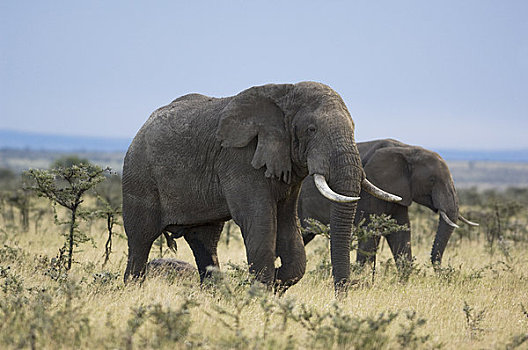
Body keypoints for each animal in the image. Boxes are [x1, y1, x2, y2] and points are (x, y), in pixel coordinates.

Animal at [121, 81, 398, 290]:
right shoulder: (239, 159)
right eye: (311, 129)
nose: (341, 297)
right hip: (139, 175)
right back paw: (133, 289)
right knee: (140, 239)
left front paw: (278, 281)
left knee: (205, 241)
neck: (284, 94)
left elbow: (288, 223)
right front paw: (262, 292)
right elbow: (260, 220)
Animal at [302, 138, 478, 270]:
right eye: (432, 180)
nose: (440, 271)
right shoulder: (372, 189)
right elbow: (370, 233)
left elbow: (401, 232)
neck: (408, 150)